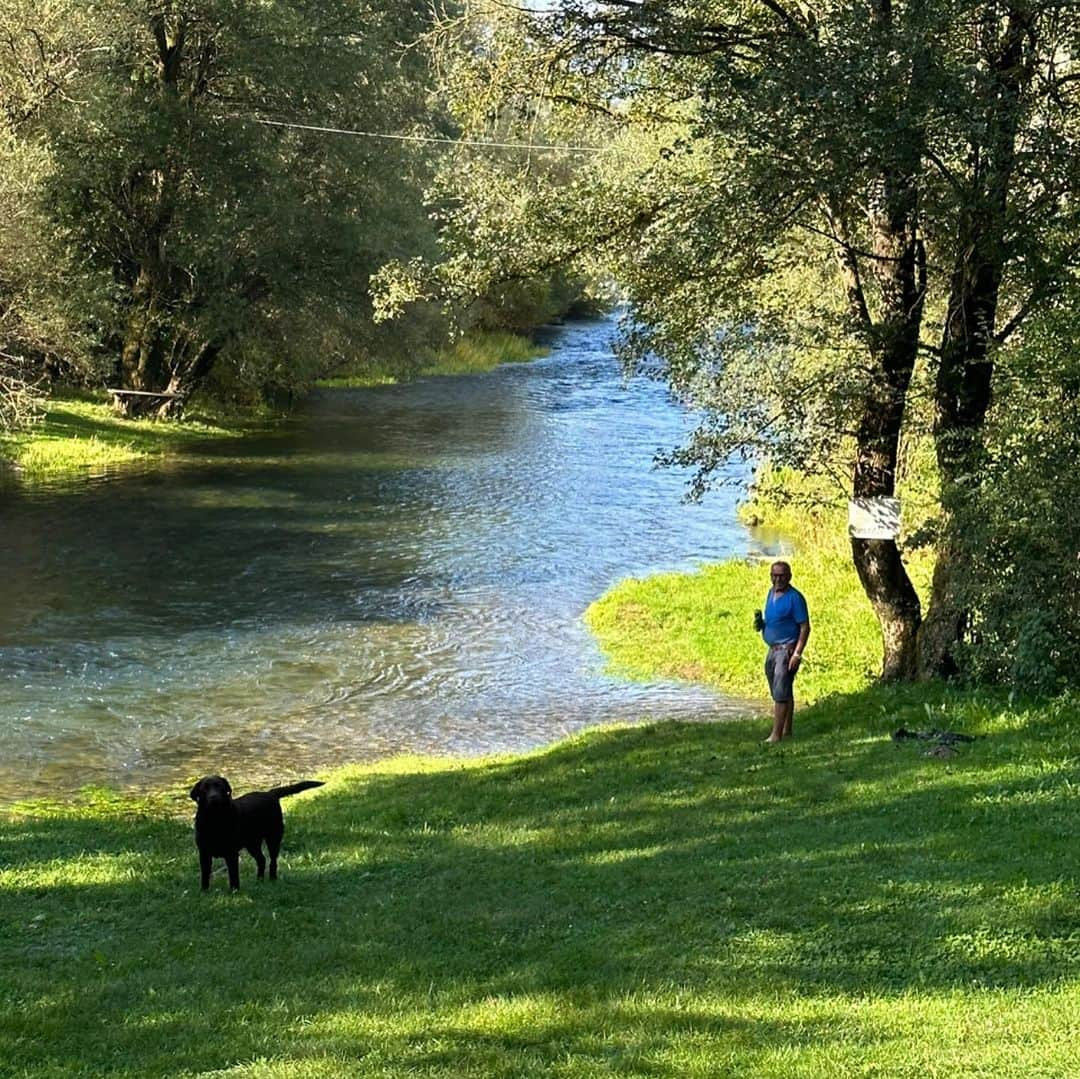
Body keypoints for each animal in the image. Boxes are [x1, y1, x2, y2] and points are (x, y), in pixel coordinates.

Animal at [190, 777, 324, 894]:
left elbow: (233, 875)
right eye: (205, 788)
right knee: (262, 860)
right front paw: (204, 891)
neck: (215, 820)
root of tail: (270, 793)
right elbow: (205, 875)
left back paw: (272, 879)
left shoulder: (231, 854)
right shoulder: (204, 854)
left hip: (273, 838)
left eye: (220, 787)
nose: (214, 797)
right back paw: (259, 880)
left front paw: (234, 891)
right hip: (252, 844)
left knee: (272, 861)